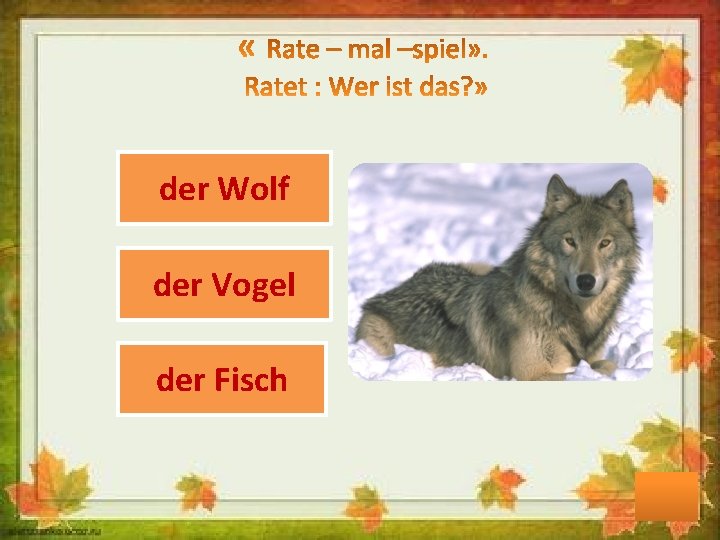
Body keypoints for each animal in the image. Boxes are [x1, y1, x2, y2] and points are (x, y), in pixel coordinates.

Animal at [355, 175, 640, 381]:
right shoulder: (532, 374)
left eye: (604, 243)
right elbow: (601, 368)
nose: (586, 281)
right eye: (570, 241)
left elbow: (604, 363)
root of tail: (388, 293)